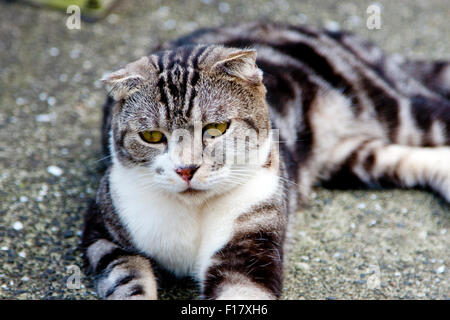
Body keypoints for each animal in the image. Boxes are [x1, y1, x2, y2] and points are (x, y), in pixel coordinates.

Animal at [81, 22, 450, 300]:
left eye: (217, 128)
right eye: (152, 136)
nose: (186, 169)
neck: (194, 213)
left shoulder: (249, 246)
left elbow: (242, 290)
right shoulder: (103, 232)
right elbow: (126, 279)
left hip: (397, 110)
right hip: (351, 157)